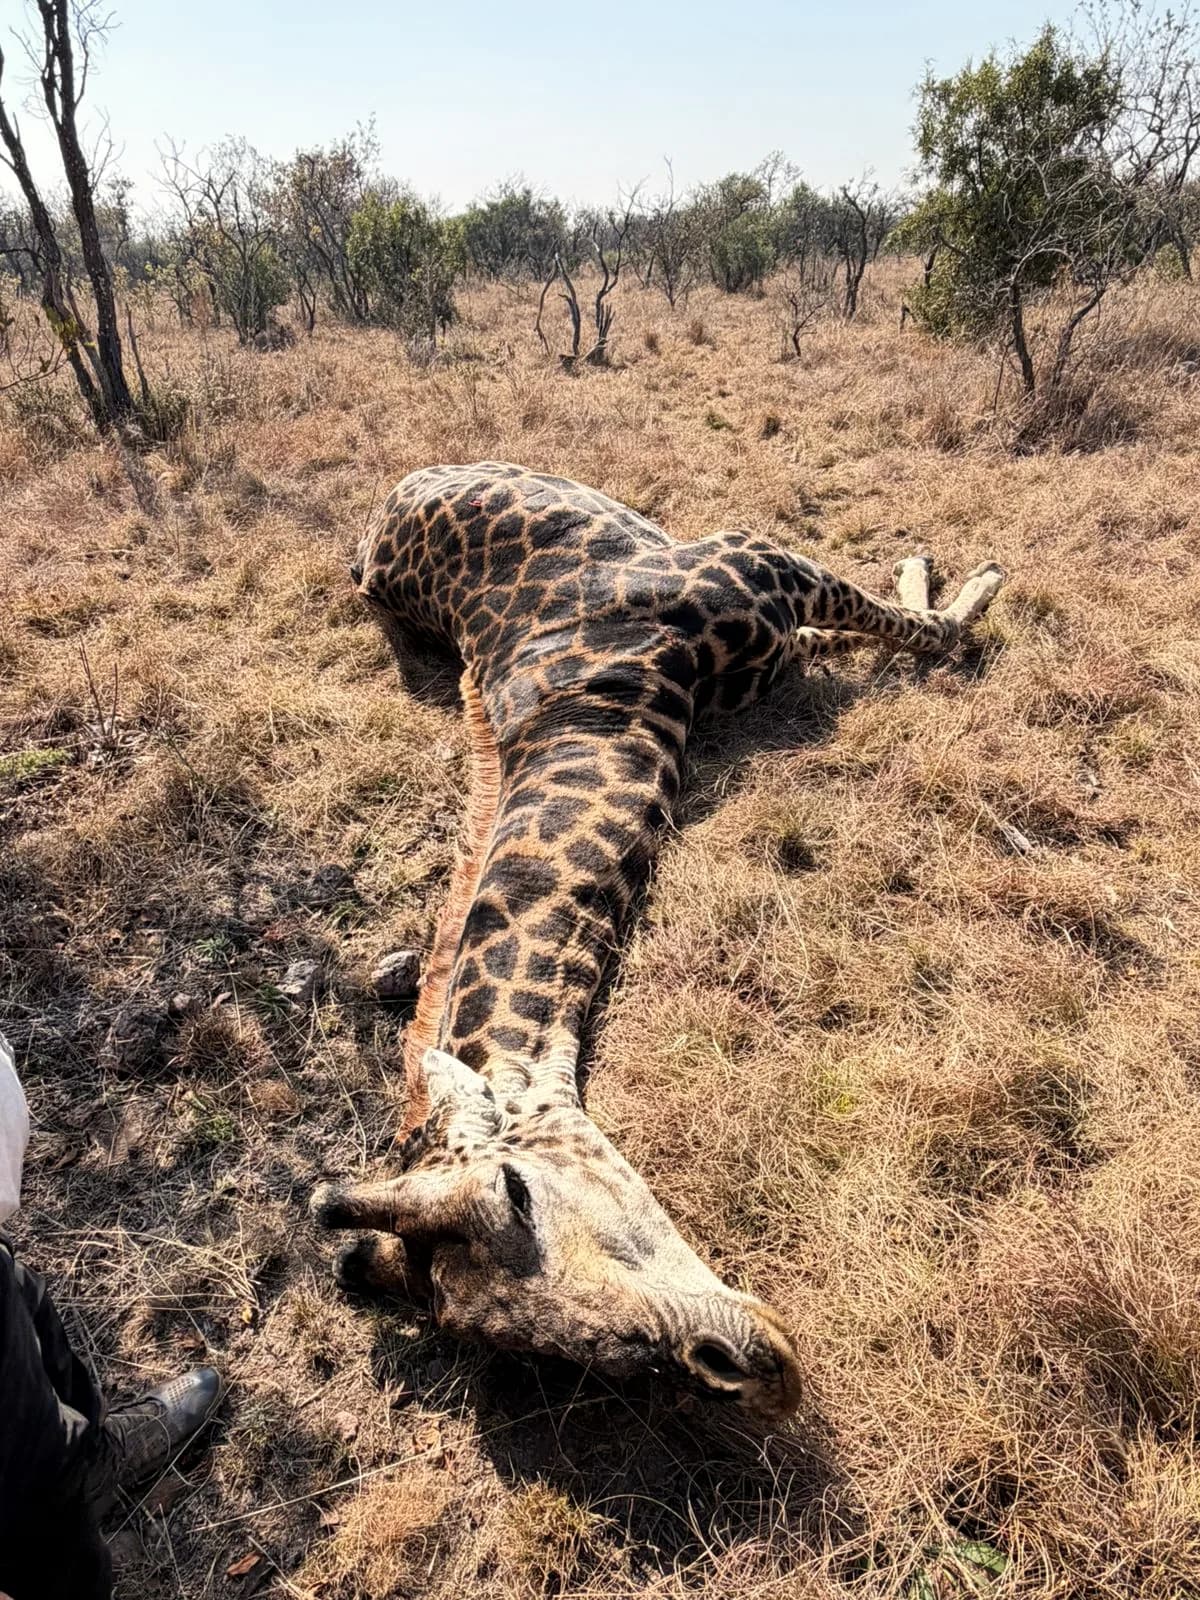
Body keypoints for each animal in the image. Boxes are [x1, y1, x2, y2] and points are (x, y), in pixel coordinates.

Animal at [312, 461, 1005, 1420]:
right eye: (542, 1363)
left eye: (516, 1194)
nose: (753, 1372)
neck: (610, 703)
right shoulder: (767, 588)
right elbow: (909, 631)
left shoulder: (758, 558)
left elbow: (915, 628)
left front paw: (957, 577)